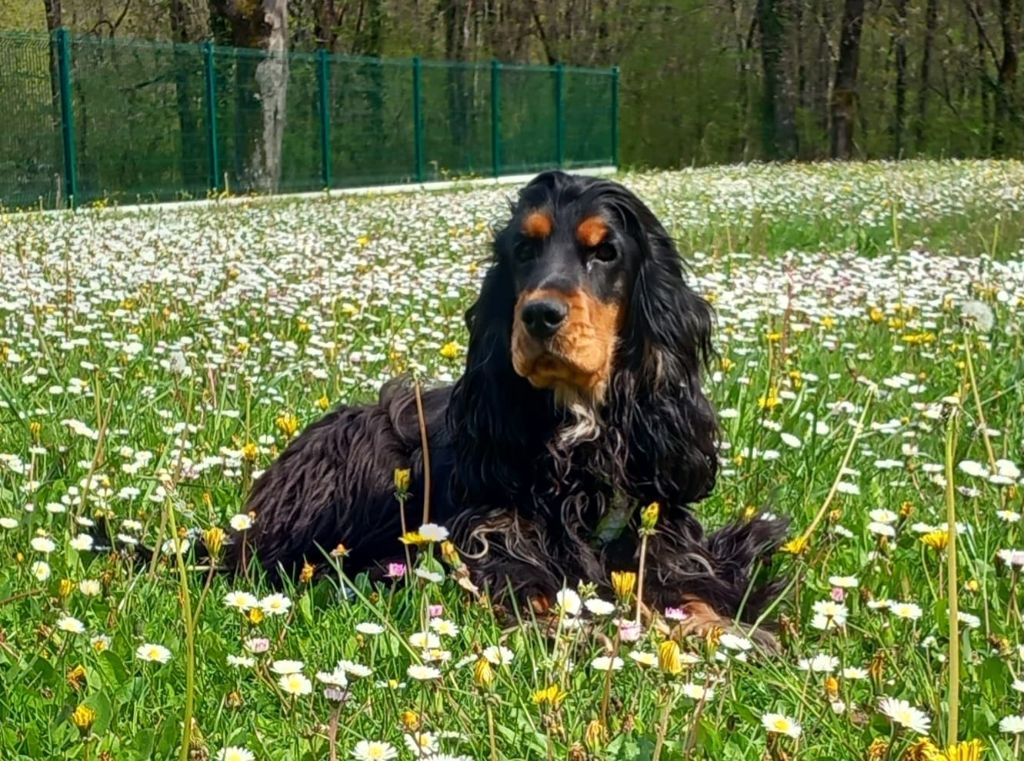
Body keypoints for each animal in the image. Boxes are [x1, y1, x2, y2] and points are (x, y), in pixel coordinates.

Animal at [230, 170, 782, 635]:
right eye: (523, 248)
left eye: (606, 252)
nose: (539, 315)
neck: (578, 435)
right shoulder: (492, 537)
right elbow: (533, 591)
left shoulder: (660, 533)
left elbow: (695, 589)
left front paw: (726, 633)